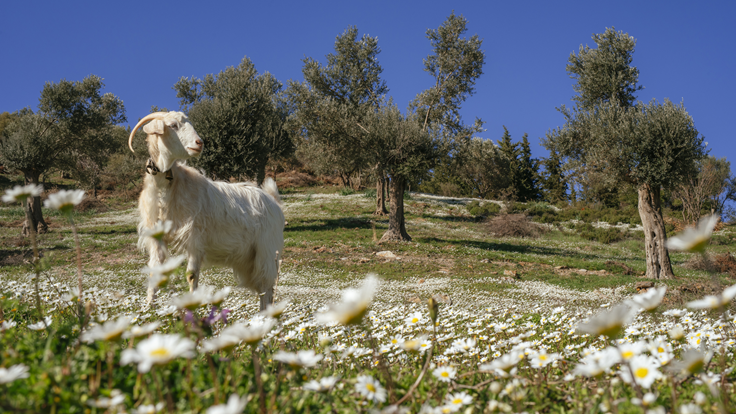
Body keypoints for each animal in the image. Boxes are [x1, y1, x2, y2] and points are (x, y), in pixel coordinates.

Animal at [129, 111, 284, 308]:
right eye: (172, 125)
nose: (199, 143)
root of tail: (273, 200)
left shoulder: (195, 237)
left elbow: (191, 275)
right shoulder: (157, 236)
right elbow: (155, 271)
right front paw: (150, 305)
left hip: (267, 251)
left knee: (267, 287)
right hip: (248, 260)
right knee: (263, 288)